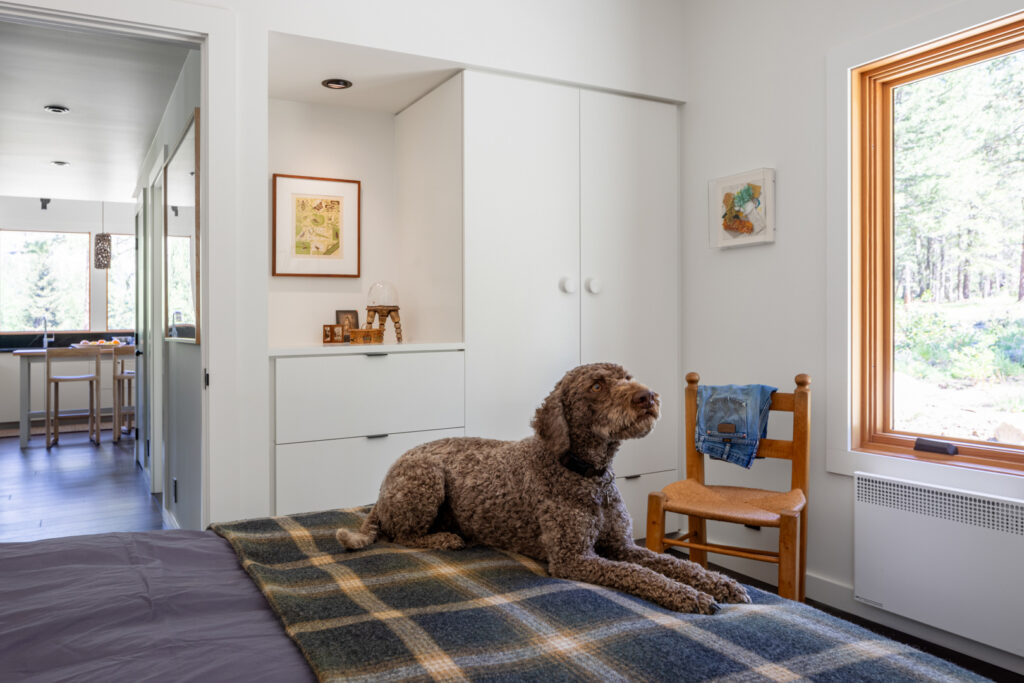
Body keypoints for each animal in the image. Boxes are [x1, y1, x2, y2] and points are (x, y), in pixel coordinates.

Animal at [339, 362, 749, 614]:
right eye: (596, 385)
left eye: (627, 377)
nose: (647, 396)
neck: (587, 475)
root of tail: (384, 486)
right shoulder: (574, 558)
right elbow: (643, 575)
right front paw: (689, 596)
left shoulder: (623, 546)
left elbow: (673, 563)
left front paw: (719, 583)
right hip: (426, 479)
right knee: (400, 535)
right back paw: (444, 538)